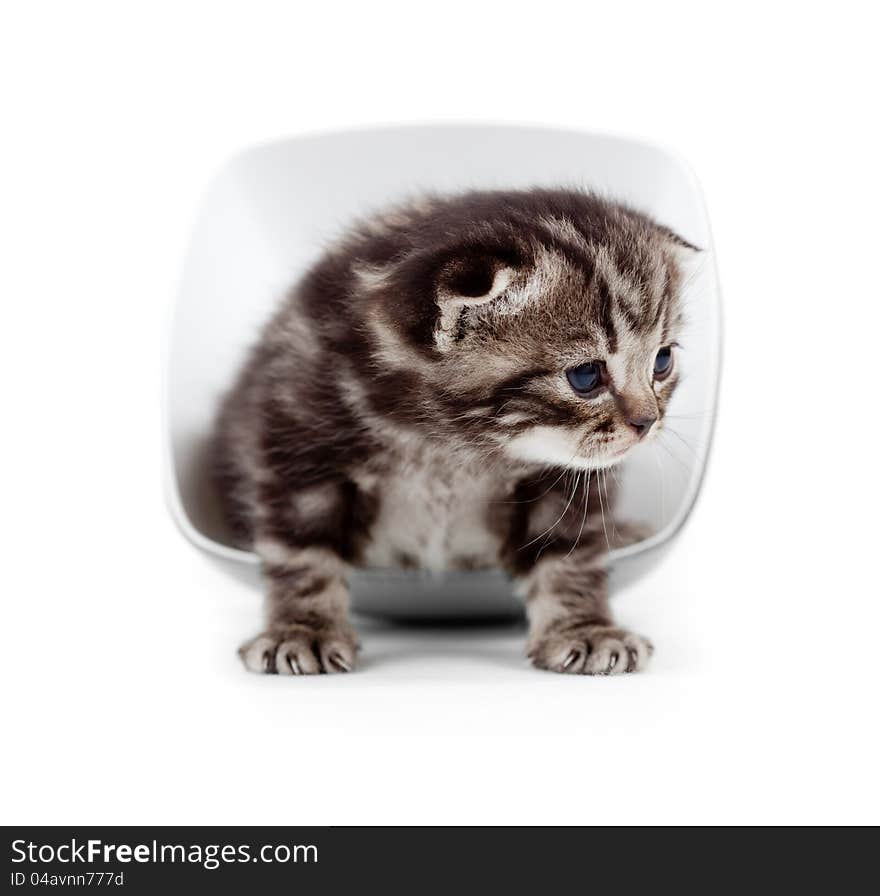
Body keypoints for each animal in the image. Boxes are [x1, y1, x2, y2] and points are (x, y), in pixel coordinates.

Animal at [213, 191, 696, 680]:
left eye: (662, 361)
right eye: (585, 376)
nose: (647, 422)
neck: (448, 444)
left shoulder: (561, 482)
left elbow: (571, 553)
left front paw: (586, 630)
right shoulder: (298, 447)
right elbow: (303, 554)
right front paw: (301, 630)